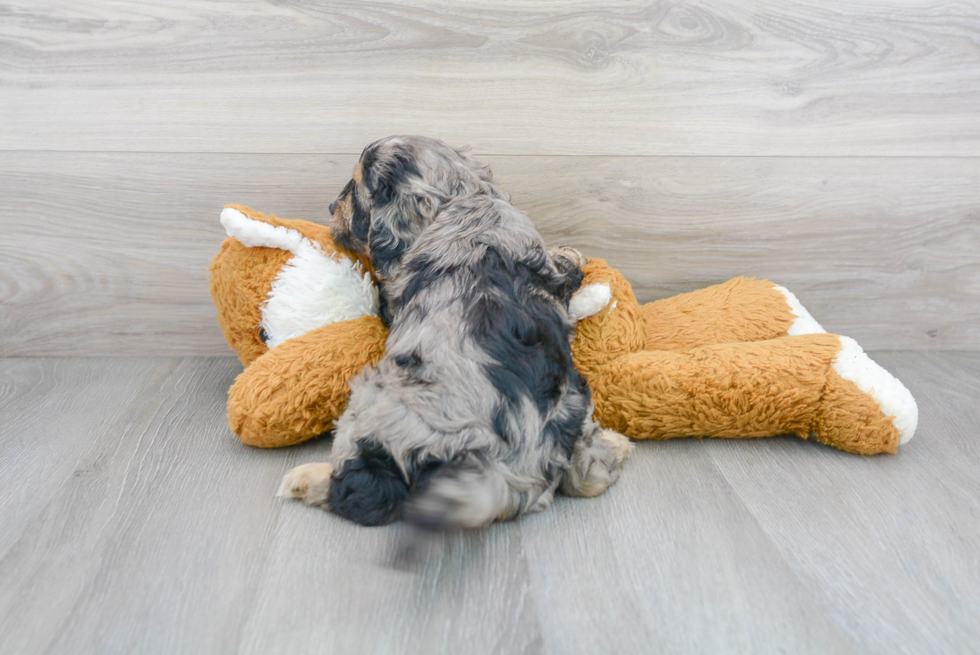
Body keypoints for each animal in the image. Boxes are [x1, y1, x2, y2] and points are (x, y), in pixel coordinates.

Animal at [278, 136, 628, 532]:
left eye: (355, 189)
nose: (330, 206)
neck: (461, 199)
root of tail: (491, 477)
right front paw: (571, 254)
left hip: (371, 402)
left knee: (364, 493)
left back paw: (305, 479)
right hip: (574, 399)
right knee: (588, 475)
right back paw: (616, 446)